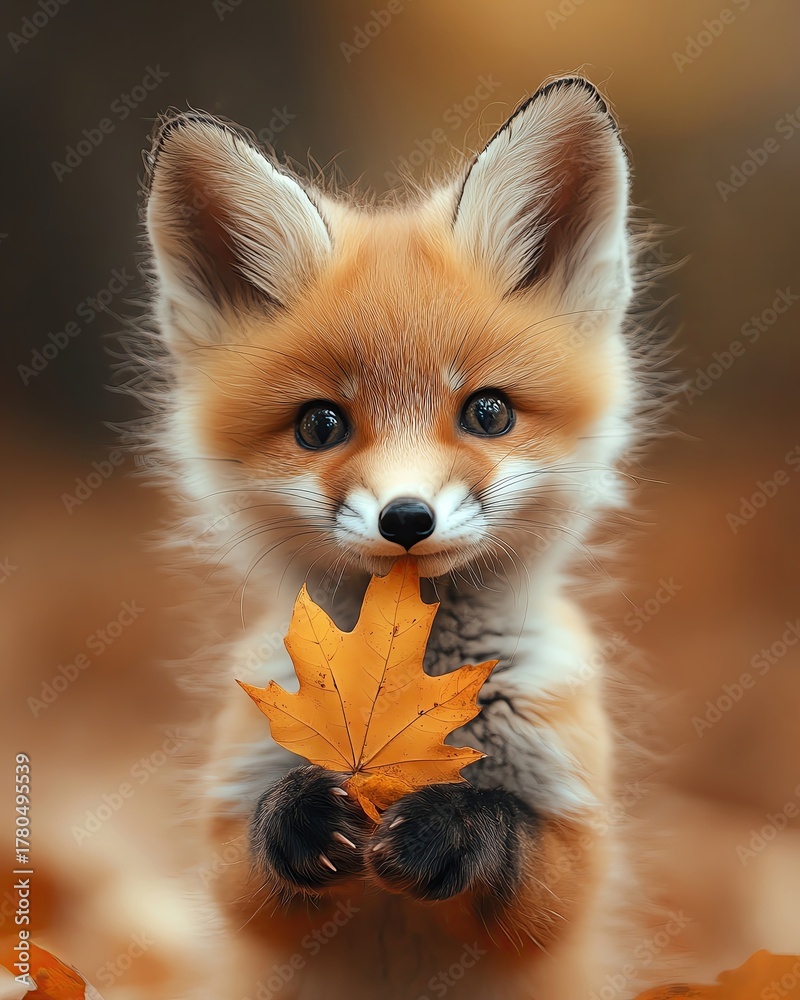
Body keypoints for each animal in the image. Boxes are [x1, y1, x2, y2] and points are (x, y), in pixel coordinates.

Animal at [141, 77, 672, 999]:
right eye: (320, 424)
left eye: (488, 412)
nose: (406, 520)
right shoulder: (236, 800)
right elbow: (245, 873)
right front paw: (301, 816)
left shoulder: (572, 826)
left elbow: (528, 862)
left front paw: (451, 827)